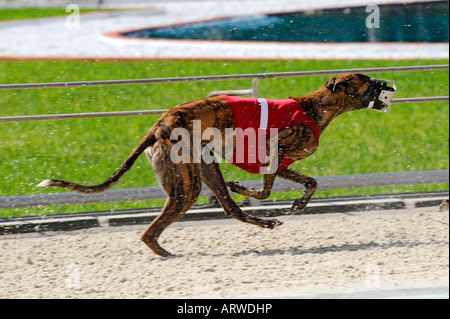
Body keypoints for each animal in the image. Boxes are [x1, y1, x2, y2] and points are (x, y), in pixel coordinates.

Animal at [38, 73, 398, 258]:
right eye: (368, 81)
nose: (391, 85)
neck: (315, 108)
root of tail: (159, 124)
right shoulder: (274, 149)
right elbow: (266, 191)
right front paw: (246, 187)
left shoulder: (281, 162)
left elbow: (311, 182)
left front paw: (297, 204)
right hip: (187, 185)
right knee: (151, 231)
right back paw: (166, 253)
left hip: (204, 167)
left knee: (229, 208)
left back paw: (262, 221)